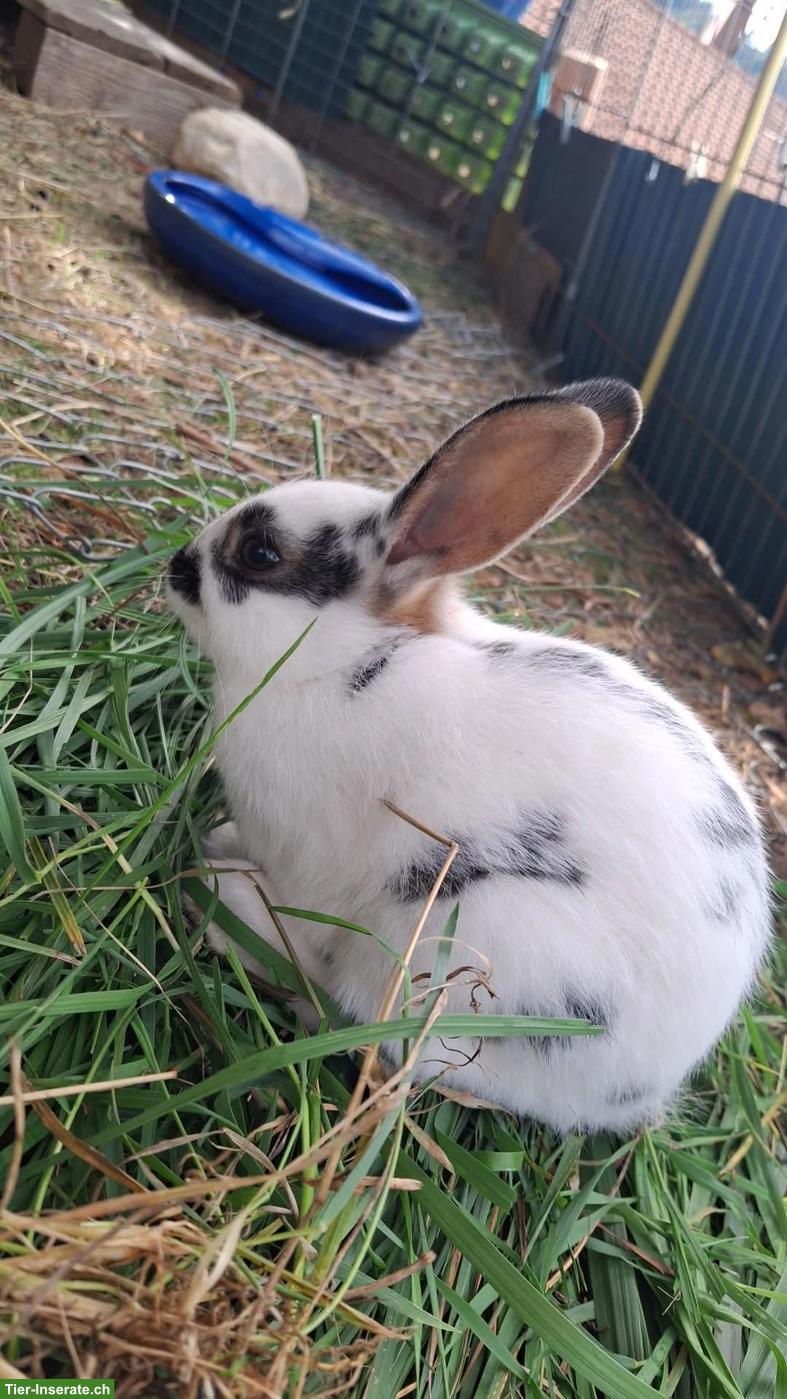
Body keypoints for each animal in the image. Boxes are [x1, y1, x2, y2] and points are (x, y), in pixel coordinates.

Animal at [167, 378, 771, 1134]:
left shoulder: (306, 855)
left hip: (464, 941)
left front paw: (226, 870)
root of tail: (640, 1090)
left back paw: (232, 904)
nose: (175, 566)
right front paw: (220, 839)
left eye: (260, 554)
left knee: (364, 1018)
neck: (345, 662)